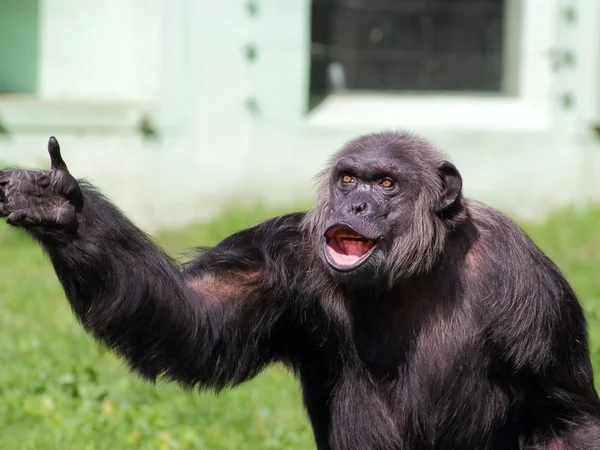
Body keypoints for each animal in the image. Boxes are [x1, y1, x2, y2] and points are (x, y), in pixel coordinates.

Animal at [1, 132, 600, 448]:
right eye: (349, 178)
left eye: (386, 183)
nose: (356, 203)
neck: (412, 268)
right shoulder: (283, 253)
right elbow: (197, 317)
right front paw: (56, 206)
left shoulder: (526, 284)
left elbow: (565, 416)